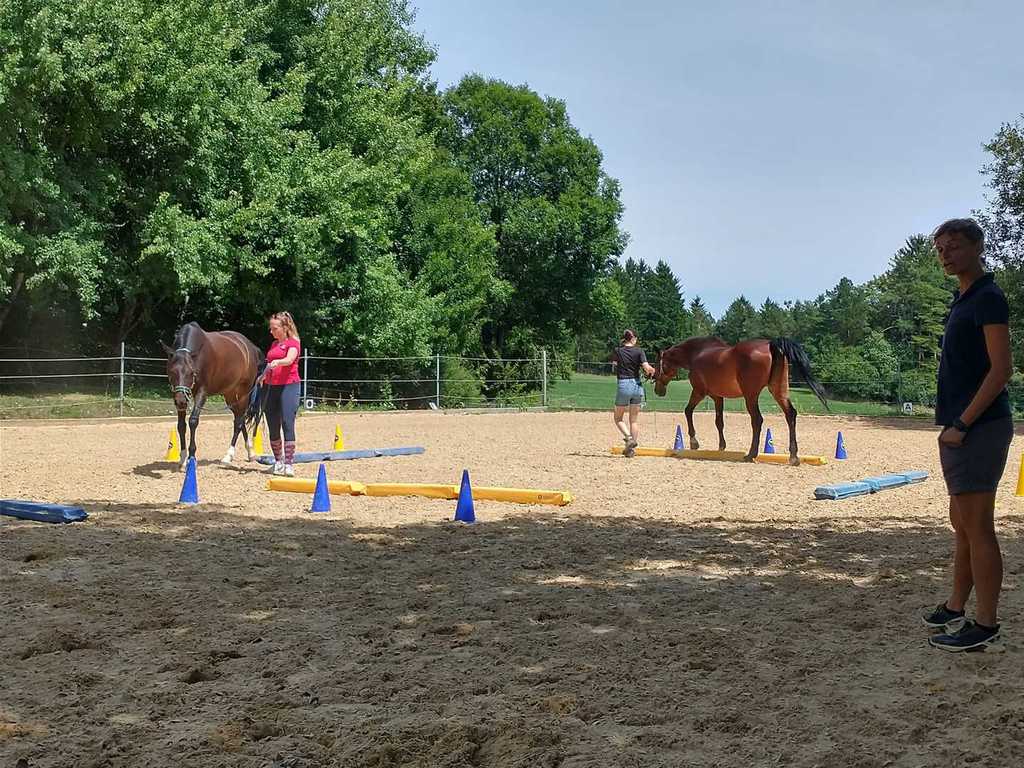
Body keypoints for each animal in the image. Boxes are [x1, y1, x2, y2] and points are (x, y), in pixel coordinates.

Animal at [162, 322, 265, 469]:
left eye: (191, 372)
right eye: (171, 371)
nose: (181, 401)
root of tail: (251, 347)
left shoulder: (201, 393)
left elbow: (193, 421)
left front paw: (191, 457)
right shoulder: (178, 395)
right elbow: (181, 425)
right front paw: (182, 458)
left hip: (243, 393)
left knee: (239, 421)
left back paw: (228, 456)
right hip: (230, 394)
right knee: (239, 418)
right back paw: (250, 452)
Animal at [653, 337, 829, 465]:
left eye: (658, 364)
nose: (657, 390)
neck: (696, 354)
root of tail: (771, 344)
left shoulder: (699, 392)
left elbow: (688, 411)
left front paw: (694, 442)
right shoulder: (717, 397)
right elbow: (719, 421)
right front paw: (721, 447)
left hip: (751, 396)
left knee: (757, 420)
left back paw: (751, 454)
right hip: (779, 390)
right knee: (790, 414)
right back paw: (793, 457)